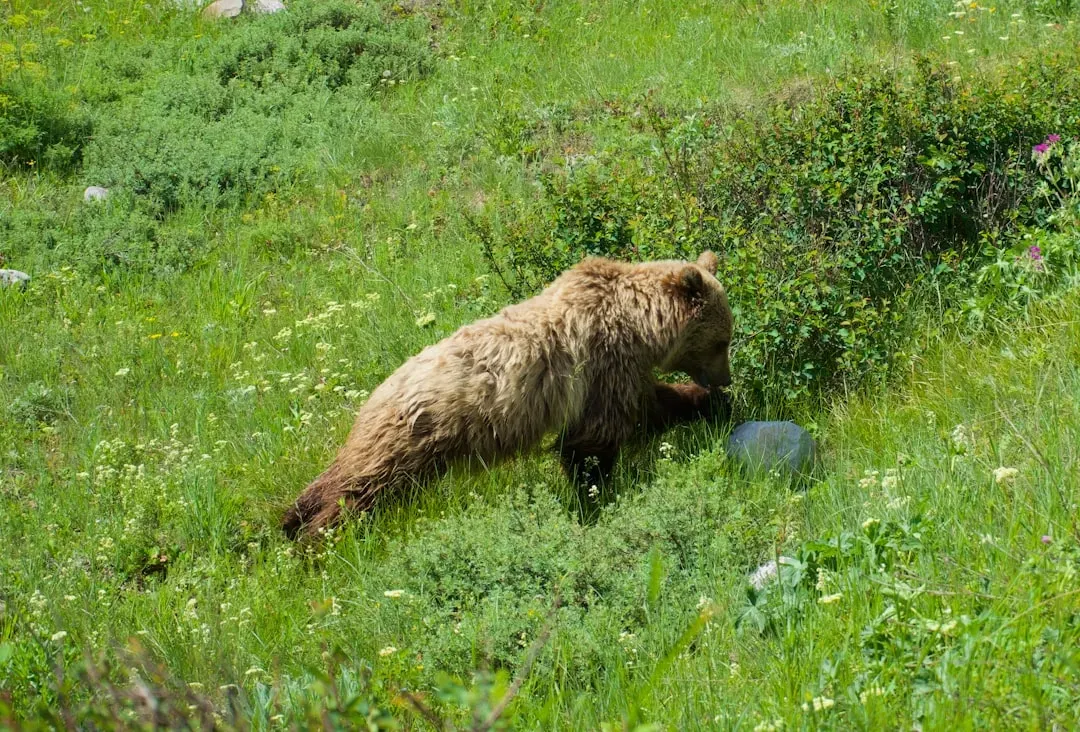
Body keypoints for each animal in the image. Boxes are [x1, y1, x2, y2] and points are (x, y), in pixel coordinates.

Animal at [282, 251, 734, 539]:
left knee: (338, 477)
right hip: (411, 439)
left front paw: (710, 404)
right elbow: (595, 438)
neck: (639, 325)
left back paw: (291, 521)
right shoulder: (602, 364)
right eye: (721, 342)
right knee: (361, 490)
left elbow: (648, 406)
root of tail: (376, 390)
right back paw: (318, 540)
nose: (725, 380)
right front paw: (594, 495)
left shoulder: (617, 371)